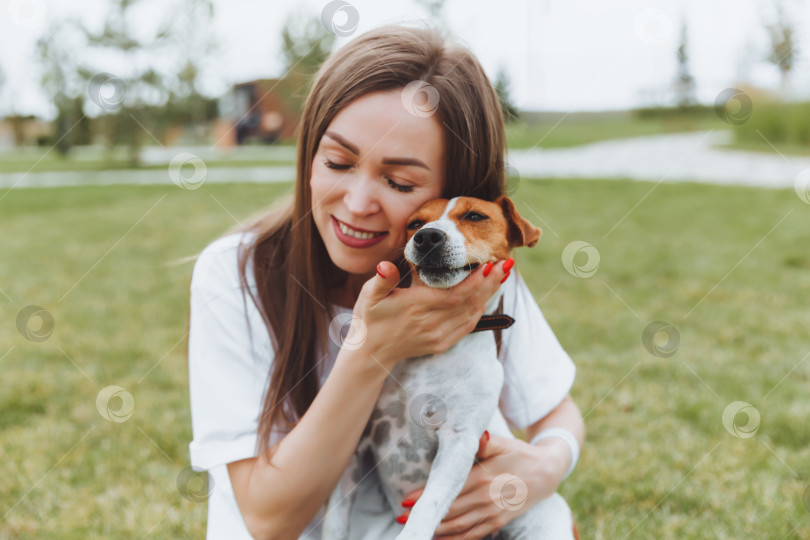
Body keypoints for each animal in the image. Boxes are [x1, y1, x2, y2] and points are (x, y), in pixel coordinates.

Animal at [318, 196, 564, 536]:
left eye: (475, 216)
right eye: (415, 223)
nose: (427, 237)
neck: (429, 354)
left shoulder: (458, 441)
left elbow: (427, 505)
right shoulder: (357, 445)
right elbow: (335, 519)